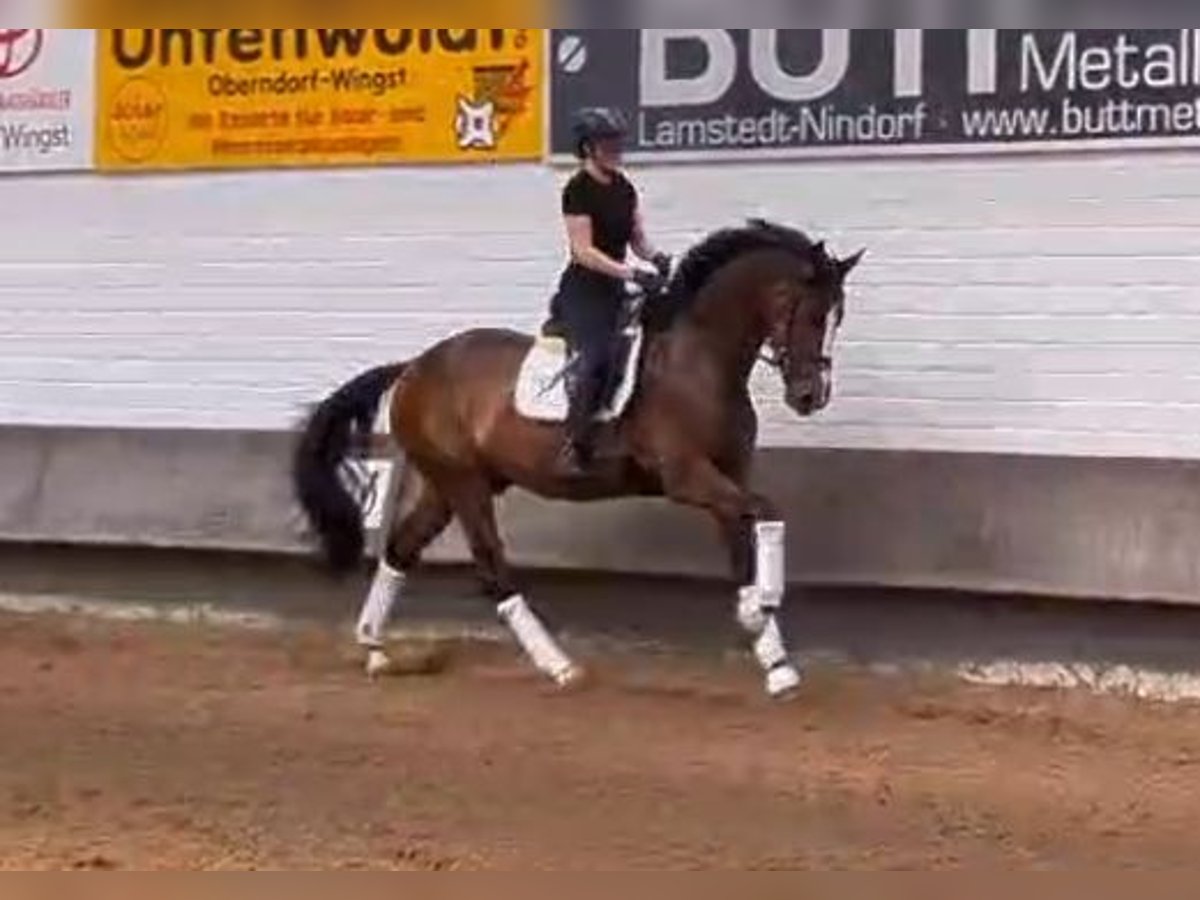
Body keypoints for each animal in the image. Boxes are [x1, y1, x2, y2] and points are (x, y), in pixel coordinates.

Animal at [295, 217, 868, 696]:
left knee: (401, 549)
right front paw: (762, 605)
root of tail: (414, 366)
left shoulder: (727, 478)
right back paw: (559, 666)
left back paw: (375, 649)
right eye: (811, 314)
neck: (700, 360)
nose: (810, 396)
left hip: (449, 483)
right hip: (463, 483)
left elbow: (744, 550)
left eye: (837, 317)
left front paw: (775, 661)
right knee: (491, 566)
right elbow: (769, 510)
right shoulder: (688, 477)